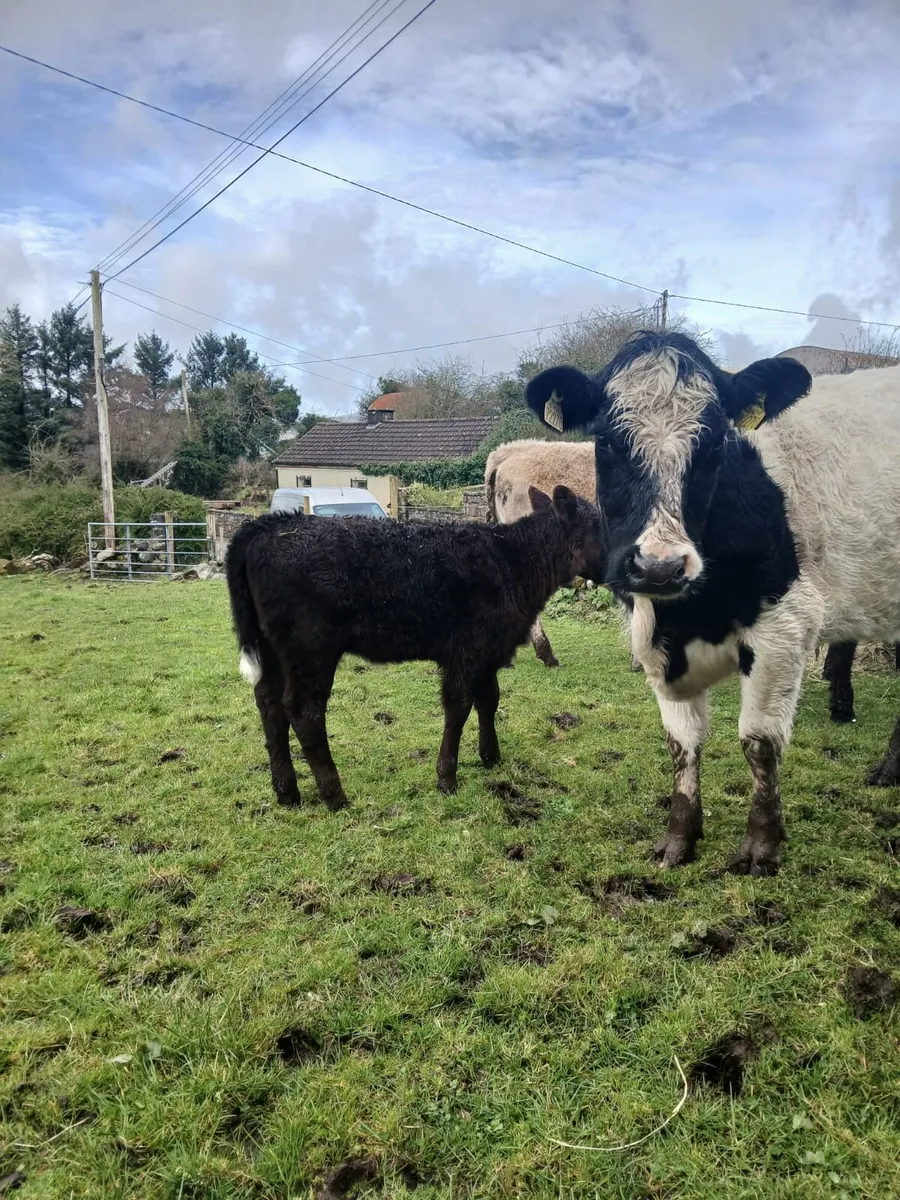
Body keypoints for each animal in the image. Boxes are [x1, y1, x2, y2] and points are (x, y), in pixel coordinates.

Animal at [525, 330, 900, 874]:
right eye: (607, 441)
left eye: (716, 443)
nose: (660, 566)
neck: (686, 619)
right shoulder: (655, 640)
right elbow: (682, 743)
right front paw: (680, 837)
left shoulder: (784, 627)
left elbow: (759, 742)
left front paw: (762, 846)